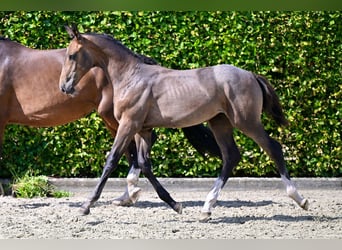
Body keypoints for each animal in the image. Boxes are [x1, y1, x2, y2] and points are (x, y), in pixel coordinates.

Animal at [59, 25, 310, 221]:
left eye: (72, 55)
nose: (64, 87)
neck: (131, 77)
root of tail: (251, 75)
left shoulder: (129, 125)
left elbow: (111, 161)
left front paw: (86, 206)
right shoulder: (143, 130)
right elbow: (144, 164)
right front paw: (173, 204)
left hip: (247, 121)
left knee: (273, 148)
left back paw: (300, 199)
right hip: (220, 123)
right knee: (231, 156)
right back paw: (207, 208)